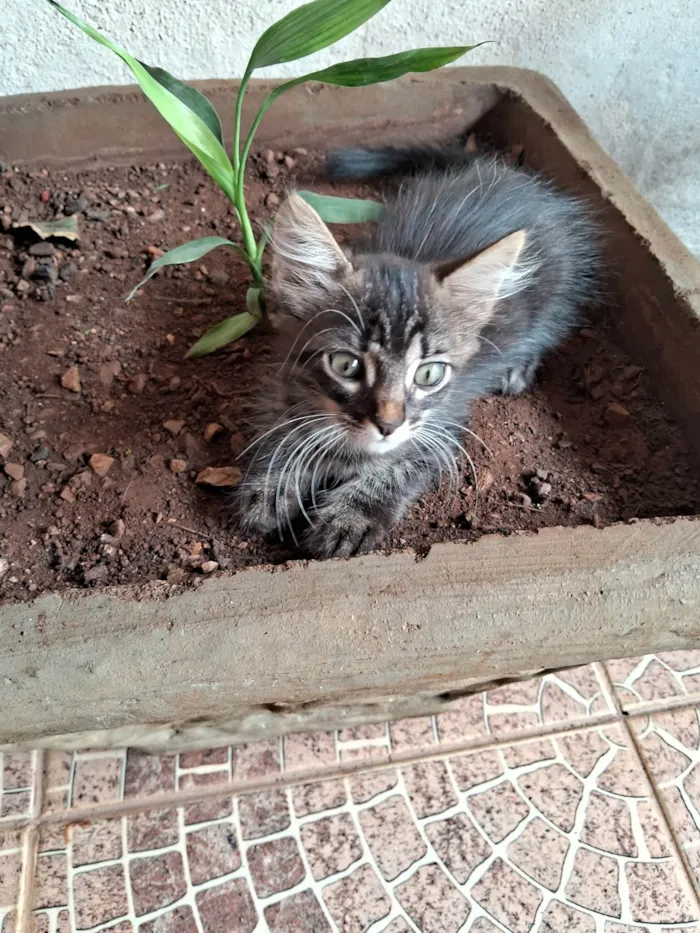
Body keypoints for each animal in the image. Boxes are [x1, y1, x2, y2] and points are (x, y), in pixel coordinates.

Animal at [235, 142, 596, 556]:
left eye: (428, 374)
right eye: (345, 365)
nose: (389, 425)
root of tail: (513, 176)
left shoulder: (443, 424)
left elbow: (399, 468)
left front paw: (351, 516)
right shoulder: (281, 387)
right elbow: (283, 431)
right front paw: (271, 484)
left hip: (554, 297)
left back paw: (516, 369)